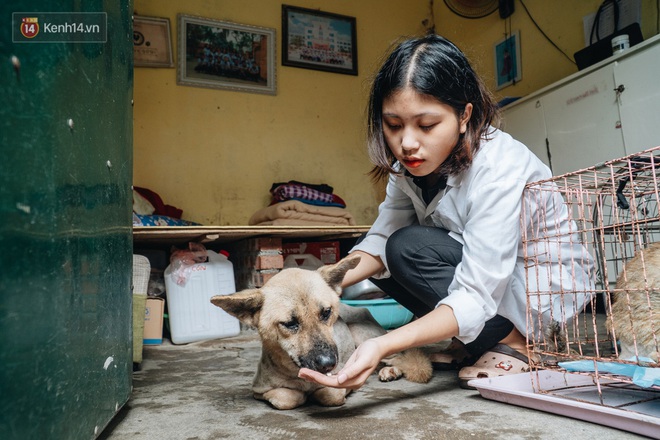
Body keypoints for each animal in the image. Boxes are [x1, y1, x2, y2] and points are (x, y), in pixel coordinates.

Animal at [211, 253, 434, 410]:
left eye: (326, 312)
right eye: (290, 323)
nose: (328, 363)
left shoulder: (342, 380)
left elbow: (330, 394)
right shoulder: (259, 389)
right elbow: (286, 398)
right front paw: (300, 395)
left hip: (363, 335)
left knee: (400, 357)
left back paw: (391, 370)